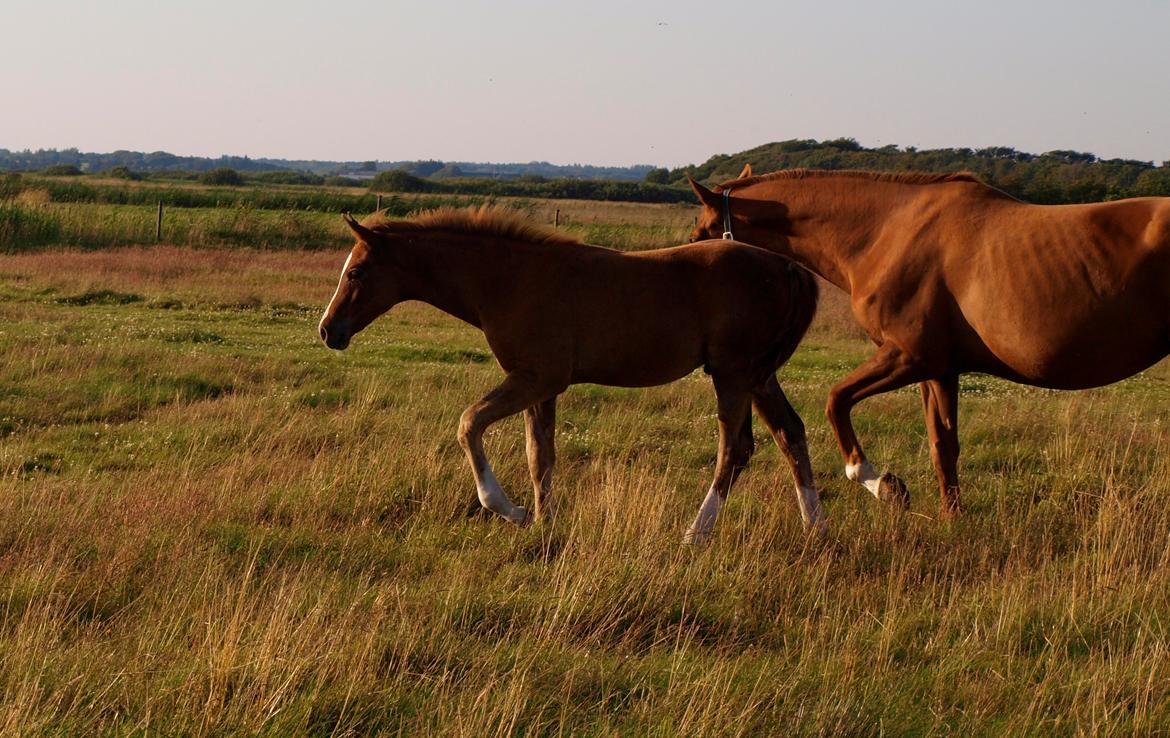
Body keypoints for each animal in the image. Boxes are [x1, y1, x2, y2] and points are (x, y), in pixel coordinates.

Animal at [315, 204, 819, 540]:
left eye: (356, 272)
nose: (327, 330)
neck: (511, 279)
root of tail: (788, 267)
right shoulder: (541, 388)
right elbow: (540, 456)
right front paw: (543, 523)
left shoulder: (537, 378)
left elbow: (469, 424)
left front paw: (511, 510)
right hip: (758, 377)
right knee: (790, 434)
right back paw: (817, 530)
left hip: (732, 374)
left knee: (734, 449)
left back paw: (697, 532)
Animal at [687, 166, 1170, 519]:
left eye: (702, 229)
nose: (685, 257)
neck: (888, 230)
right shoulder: (939, 370)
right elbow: (944, 447)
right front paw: (952, 519)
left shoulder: (909, 356)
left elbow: (835, 400)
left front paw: (881, 483)